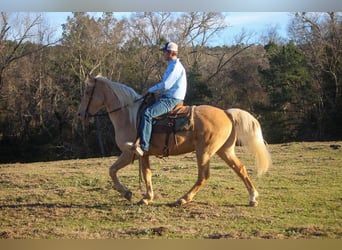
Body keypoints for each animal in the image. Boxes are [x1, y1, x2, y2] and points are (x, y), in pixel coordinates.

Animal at [77, 74, 270, 207]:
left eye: (87, 92)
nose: (80, 114)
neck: (128, 116)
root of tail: (227, 113)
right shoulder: (143, 155)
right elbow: (146, 173)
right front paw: (146, 197)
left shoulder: (129, 152)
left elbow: (112, 170)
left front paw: (128, 193)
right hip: (225, 151)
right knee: (240, 168)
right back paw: (253, 198)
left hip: (204, 152)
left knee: (203, 176)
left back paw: (183, 199)